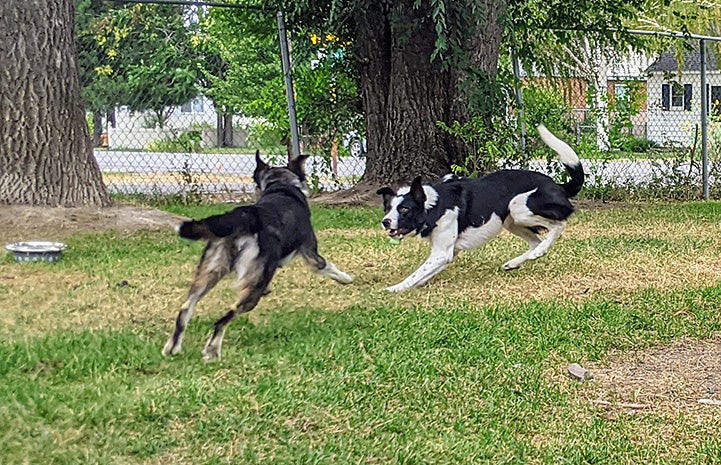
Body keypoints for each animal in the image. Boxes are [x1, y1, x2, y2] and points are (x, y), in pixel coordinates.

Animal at [164, 150, 354, 360]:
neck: (280, 185)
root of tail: (247, 215)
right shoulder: (310, 253)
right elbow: (327, 266)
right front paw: (346, 278)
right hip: (253, 286)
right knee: (224, 318)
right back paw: (212, 351)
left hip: (210, 271)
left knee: (185, 309)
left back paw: (173, 347)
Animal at [376, 123, 584, 290]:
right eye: (387, 208)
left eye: (404, 209)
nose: (385, 222)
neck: (434, 205)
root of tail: (557, 185)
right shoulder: (447, 252)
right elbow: (422, 274)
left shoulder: (441, 253)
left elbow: (415, 274)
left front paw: (394, 289)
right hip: (510, 221)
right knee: (535, 241)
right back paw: (515, 262)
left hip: (519, 207)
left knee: (558, 225)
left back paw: (540, 251)